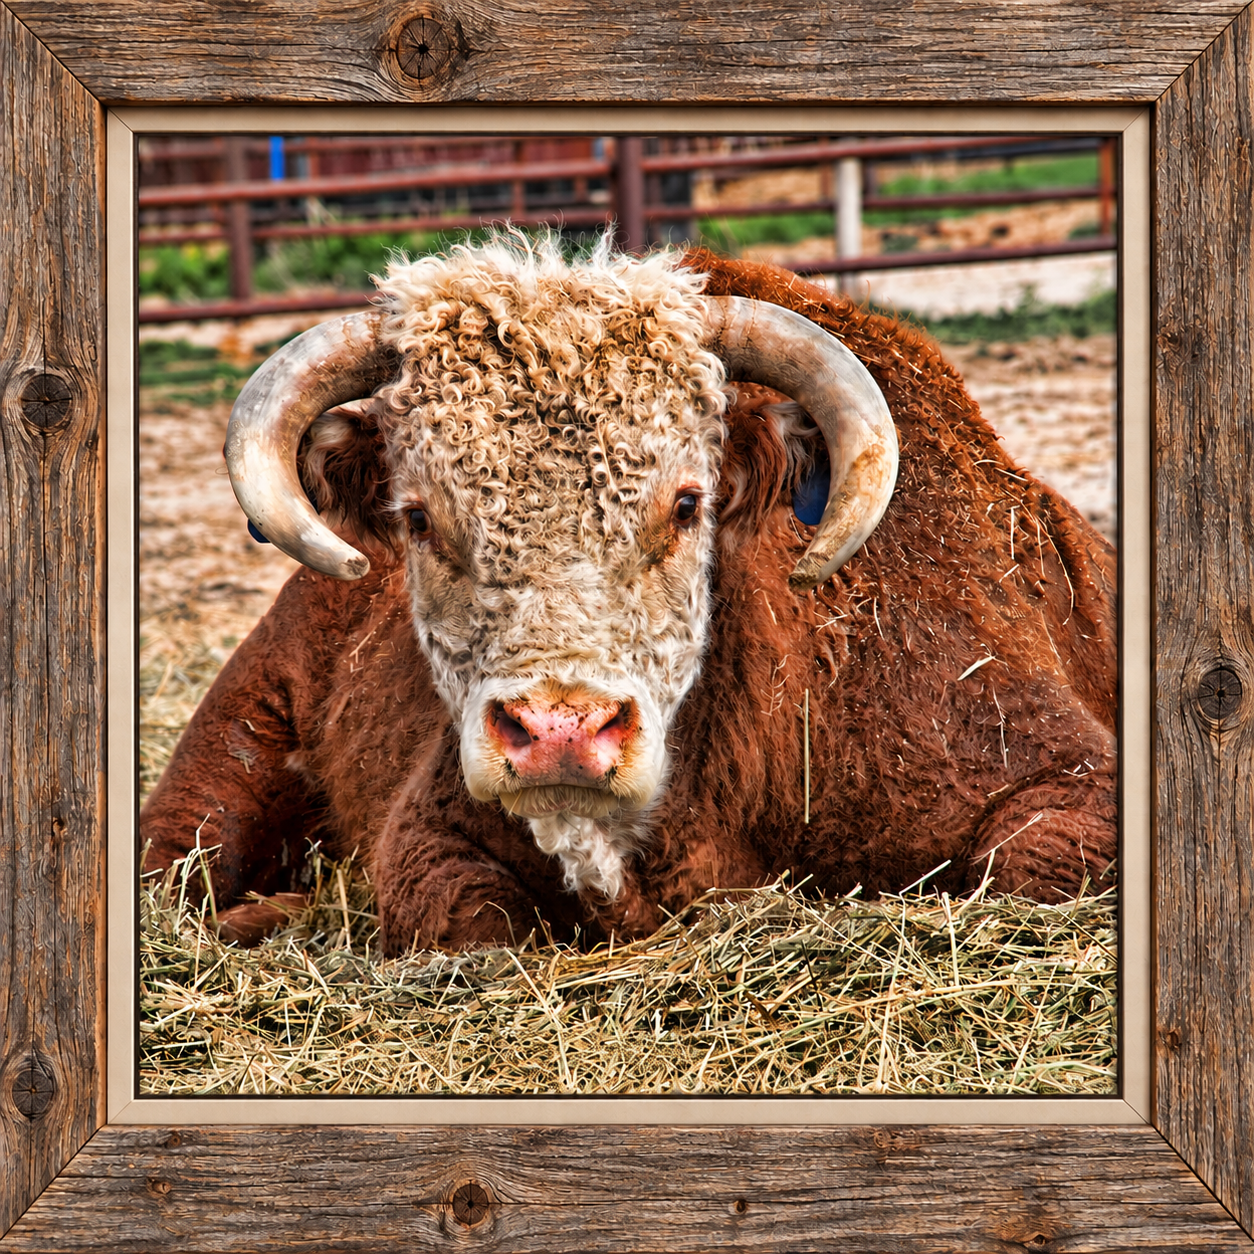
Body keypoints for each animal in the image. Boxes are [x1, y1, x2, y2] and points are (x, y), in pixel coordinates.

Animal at [141, 234, 1117, 955]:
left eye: (687, 502)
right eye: (417, 517)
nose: (559, 734)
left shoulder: (1058, 773)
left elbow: (1028, 868)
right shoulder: (430, 835)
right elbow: (460, 920)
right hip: (231, 745)